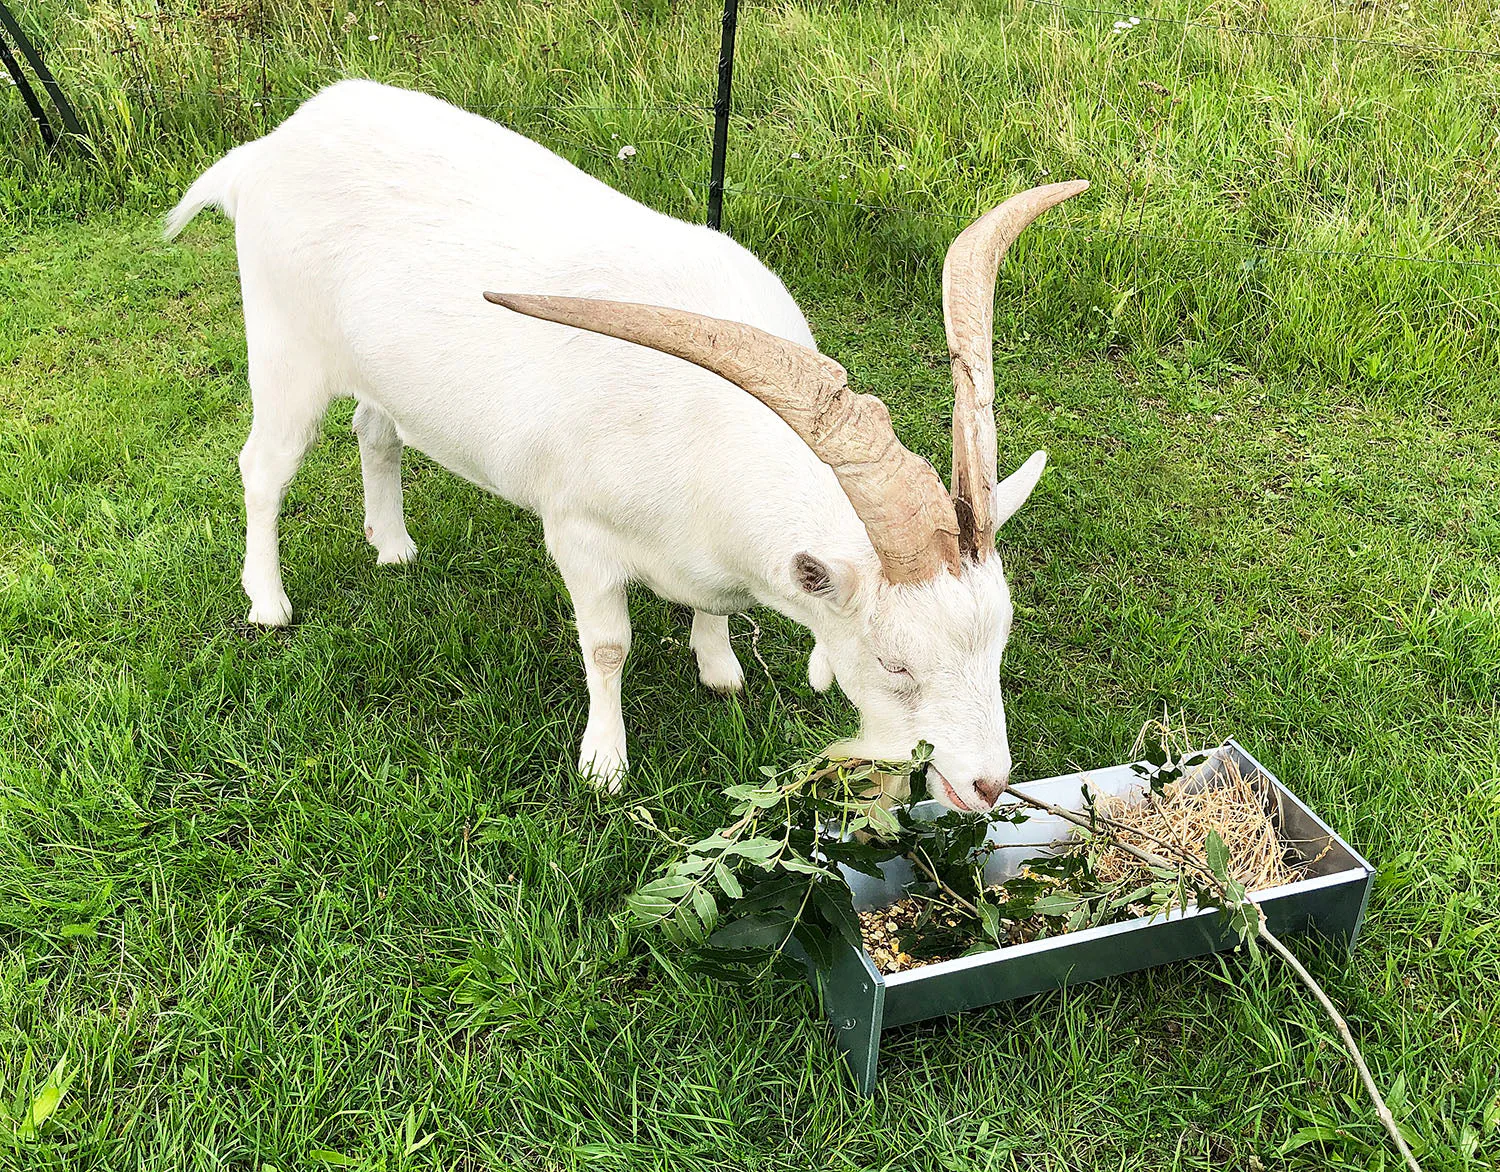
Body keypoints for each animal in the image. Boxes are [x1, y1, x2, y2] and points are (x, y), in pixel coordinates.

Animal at [166, 79, 1086, 811]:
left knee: (375, 430)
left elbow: (715, 610)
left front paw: (719, 668)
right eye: (895, 666)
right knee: (263, 468)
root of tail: (266, 149)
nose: (985, 785)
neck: (705, 441)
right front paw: (603, 764)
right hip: (283, 347)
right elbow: (607, 647)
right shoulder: (578, 533)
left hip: (380, 369)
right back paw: (268, 601)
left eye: (1001, 640)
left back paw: (392, 545)